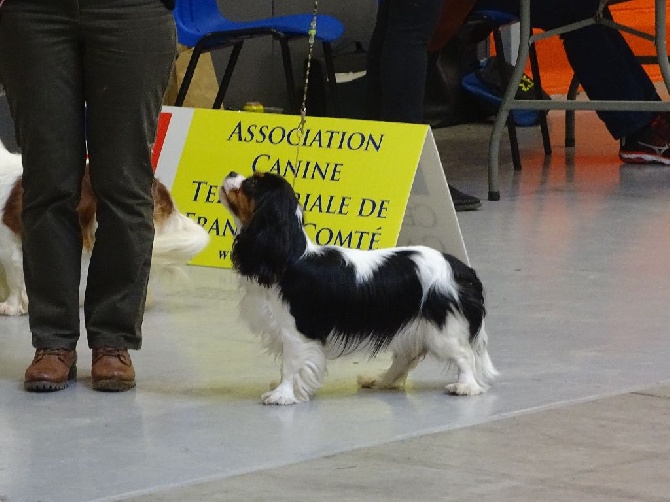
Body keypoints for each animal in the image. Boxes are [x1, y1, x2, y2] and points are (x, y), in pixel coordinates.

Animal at [222, 172, 498, 404]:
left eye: (252, 184)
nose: (231, 173)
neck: (289, 256)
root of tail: (459, 267)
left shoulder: (296, 331)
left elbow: (290, 364)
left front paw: (282, 394)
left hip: (443, 329)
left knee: (464, 355)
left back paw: (466, 387)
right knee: (404, 358)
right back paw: (380, 380)